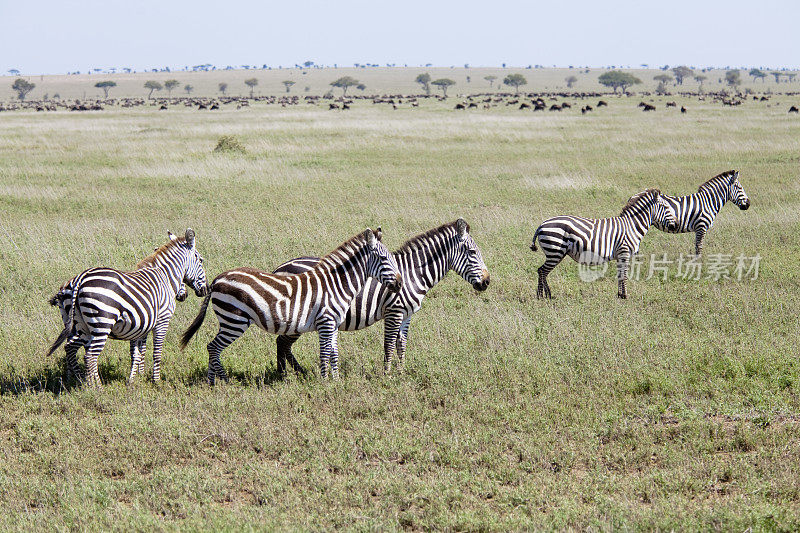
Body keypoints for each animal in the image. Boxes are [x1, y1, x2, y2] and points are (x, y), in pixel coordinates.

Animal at [45, 229, 209, 386]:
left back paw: (77, 381)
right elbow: (156, 352)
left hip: (79, 324)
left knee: (71, 347)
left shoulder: (141, 324)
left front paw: (135, 378)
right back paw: (96, 387)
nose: (205, 290)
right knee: (89, 355)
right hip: (101, 323)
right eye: (200, 260)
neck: (165, 277)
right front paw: (155, 381)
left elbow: (137, 352)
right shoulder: (162, 320)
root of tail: (80, 278)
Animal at [183, 227, 406, 380]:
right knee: (213, 347)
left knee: (212, 348)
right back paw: (222, 380)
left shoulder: (334, 324)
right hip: (234, 320)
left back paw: (213, 381)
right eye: (383, 258)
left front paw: (336, 380)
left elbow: (334, 353)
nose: (400, 283)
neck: (336, 284)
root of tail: (218, 279)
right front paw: (325, 382)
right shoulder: (326, 322)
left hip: (230, 320)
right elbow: (325, 352)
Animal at [272, 218, 490, 372]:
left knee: (283, 344)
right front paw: (387, 375)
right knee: (282, 343)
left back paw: (295, 373)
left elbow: (402, 344)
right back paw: (286, 375)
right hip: (297, 319)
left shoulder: (407, 314)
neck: (412, 274)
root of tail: (279, 268)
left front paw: (401, 373)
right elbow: (389, 344)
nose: (487, 282)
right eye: (472, 252)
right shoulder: (394, 311)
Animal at [528, 187, 680, 298]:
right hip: (555, 251)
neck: (632, 226)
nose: (676, 225)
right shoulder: (624, 252)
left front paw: (619, 295)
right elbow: (624, 275)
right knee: (542, 271)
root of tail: (541, 225)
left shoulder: (620, 255)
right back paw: (541, 296)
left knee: (542, 271)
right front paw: (625, 296)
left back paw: (547, 295)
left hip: (557, 253)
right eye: (667, 207)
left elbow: (620, 275)